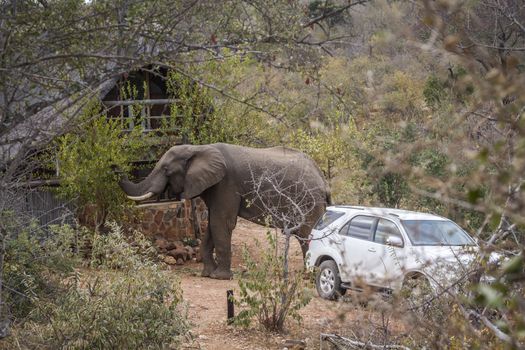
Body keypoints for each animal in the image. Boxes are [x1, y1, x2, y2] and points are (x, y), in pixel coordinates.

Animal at [115, 142, 328, 278]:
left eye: (166, 169)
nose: (115, 168)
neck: (198, 148)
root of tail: (322, 179)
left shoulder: (226, 183)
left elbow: (221, 222)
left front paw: (220, 277)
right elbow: (212, 225)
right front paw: (207, 274)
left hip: (308, 201)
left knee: (306, 233)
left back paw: (309, 276)